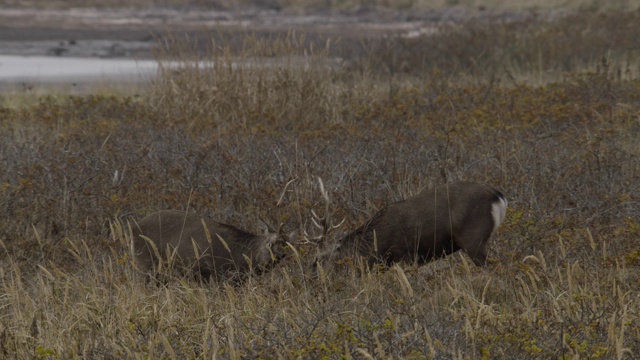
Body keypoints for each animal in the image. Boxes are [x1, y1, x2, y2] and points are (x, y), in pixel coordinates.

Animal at [132, 210, 298, 282]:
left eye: (286, 251)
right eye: (269, 243)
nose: (274, 257)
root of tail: (133, 228)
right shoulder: (219, 273)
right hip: (147, 264)